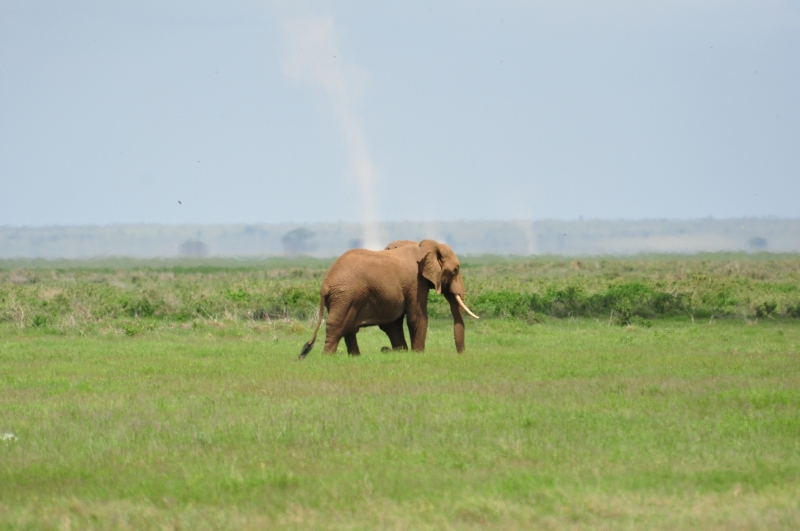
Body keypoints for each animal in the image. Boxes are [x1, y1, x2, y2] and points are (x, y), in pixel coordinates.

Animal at [299, 239, 479, 358]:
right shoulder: (415, 282)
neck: (424, 245)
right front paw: (417, 354)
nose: (462, 355)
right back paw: (327, 356)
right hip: (345, 296)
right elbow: (417, 317)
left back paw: (355, 357)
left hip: (345, 298)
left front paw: (401, 352)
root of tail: (325, 285)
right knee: (337, 325)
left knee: (348, 327)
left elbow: (392, 323)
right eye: (456, 270)